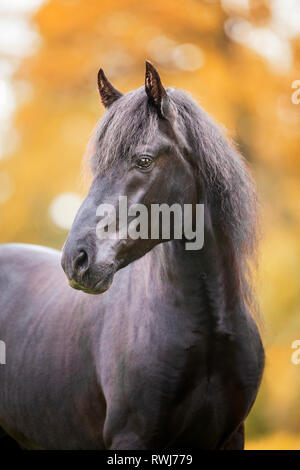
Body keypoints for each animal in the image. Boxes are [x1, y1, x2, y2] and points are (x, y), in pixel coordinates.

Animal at [0, 62, 264, 448]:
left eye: (144, 161)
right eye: (97, 165)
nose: (76, 260)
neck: (206, 331)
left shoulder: (231, 436)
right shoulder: (132, 437)